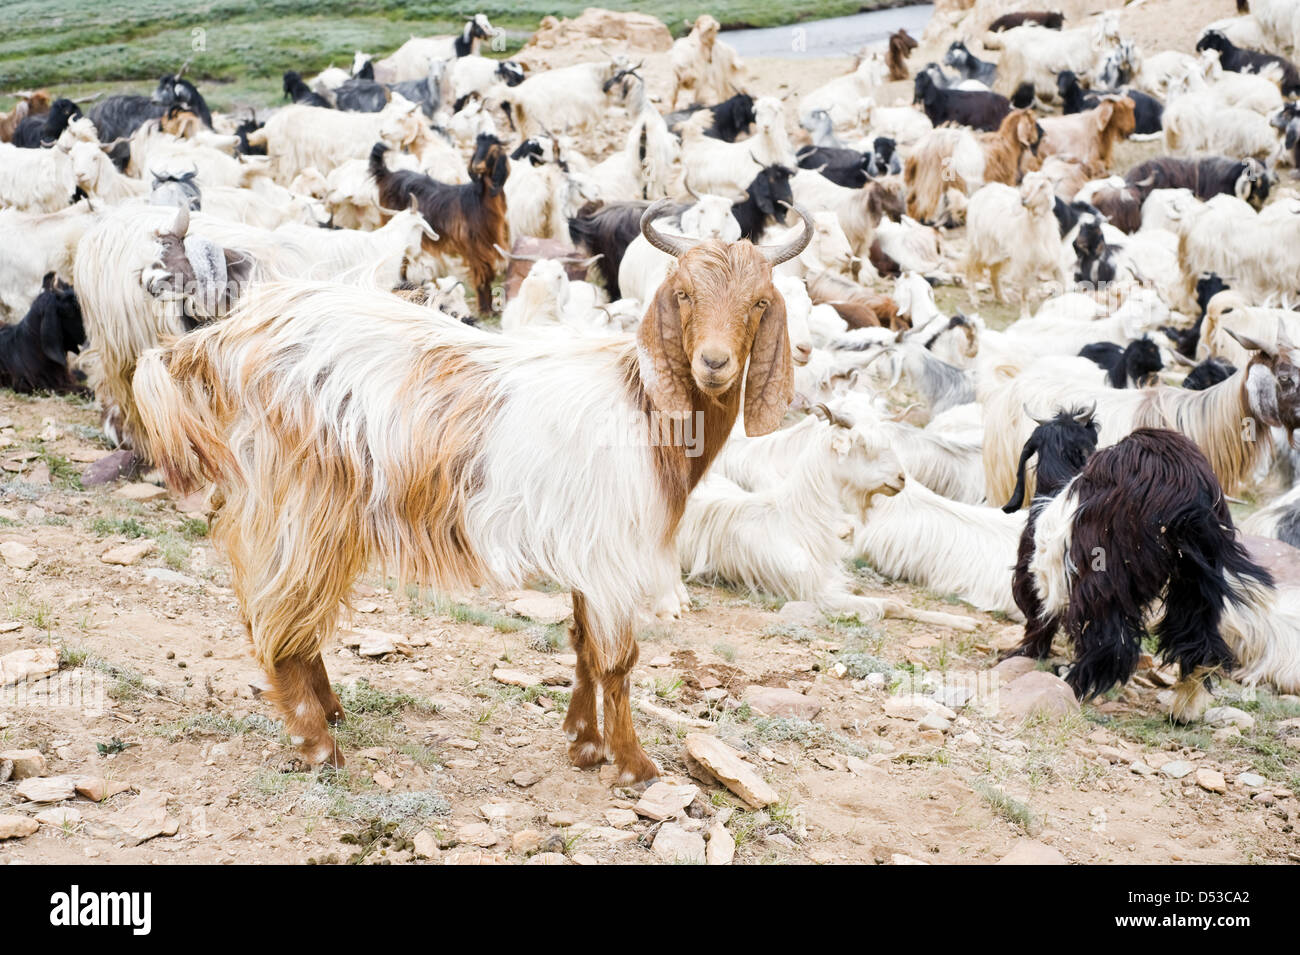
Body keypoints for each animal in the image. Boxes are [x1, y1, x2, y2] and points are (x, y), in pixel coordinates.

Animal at [130, 202, 813, 782]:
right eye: (684, 294)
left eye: (759, 302)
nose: (714, 364)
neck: (642, 402)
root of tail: (223, 339)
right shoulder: (614, 549)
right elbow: (618, 660)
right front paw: (634, 764)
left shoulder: (587, 548)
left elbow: (583, 645)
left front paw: (584, 744)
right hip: (303, 498)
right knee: (276, 612)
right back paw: (317, 743)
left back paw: (329, 711)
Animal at [370, 135, 508, 314]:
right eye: (476, 148)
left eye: (493, 150)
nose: (477, 166)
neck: (478, 203)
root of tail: (388, 174)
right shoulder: (474, 247)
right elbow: (482, 276)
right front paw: (485, 311)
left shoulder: (487, 246)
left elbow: (488, 275)